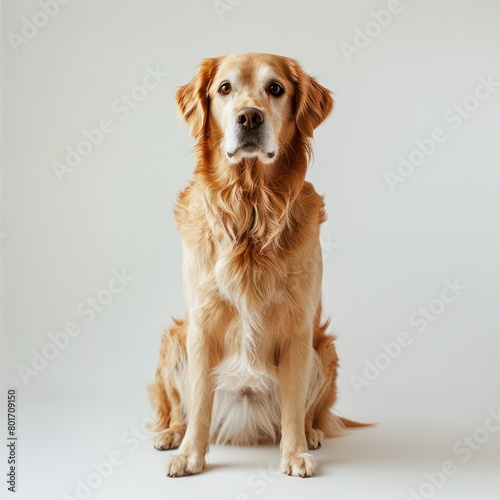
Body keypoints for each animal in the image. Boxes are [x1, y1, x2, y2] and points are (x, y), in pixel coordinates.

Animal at [146, 52, 366, 478]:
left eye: (275, 88)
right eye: (224, 88)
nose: (249, 117)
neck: (250, 207)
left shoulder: (299, 327)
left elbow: (294, 406)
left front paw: (295, 453)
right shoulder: (201, 324)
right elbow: (199, 401)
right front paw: (190, 454)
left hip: (323, 349)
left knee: (309, 412)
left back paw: (311, 434)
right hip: (174, 339)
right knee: (177, 408)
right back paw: (172, 434)